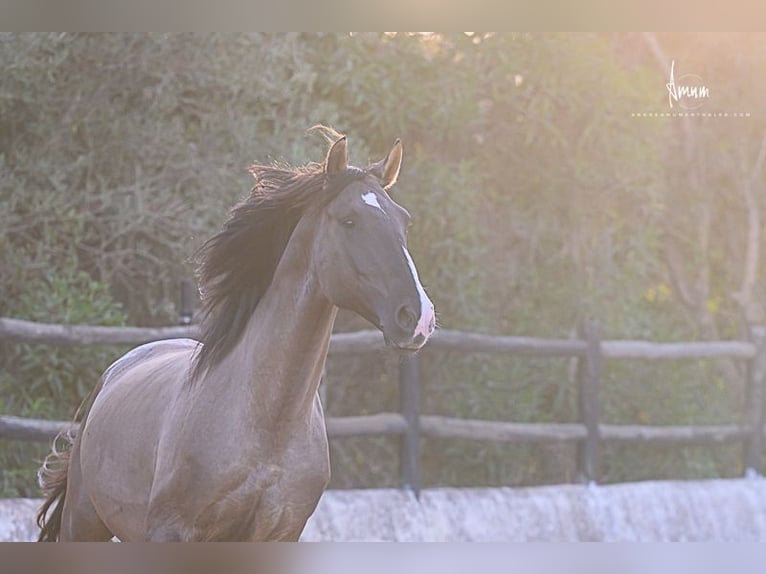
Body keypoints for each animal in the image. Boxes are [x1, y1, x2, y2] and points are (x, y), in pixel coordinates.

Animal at [36, 127, 436, 541]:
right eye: (349, 220)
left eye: (404, 221)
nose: (417, 317)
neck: (267, 420)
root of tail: (115, 371)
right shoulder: (171, 531)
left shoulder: (279, 534)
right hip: (84, 522)